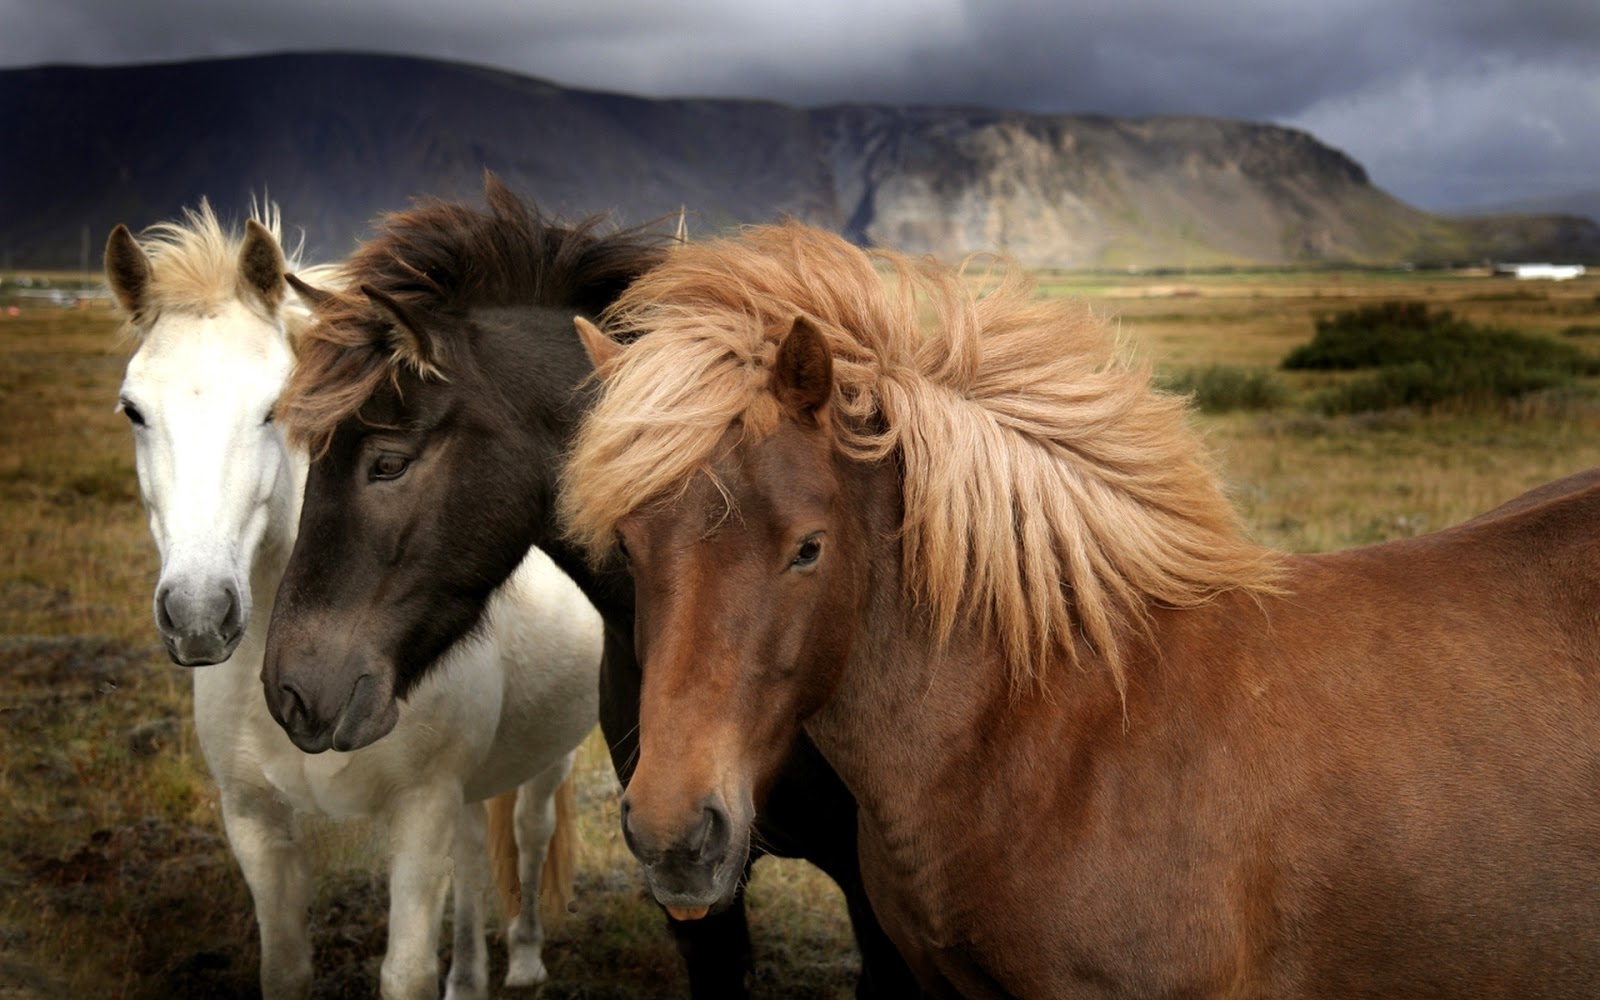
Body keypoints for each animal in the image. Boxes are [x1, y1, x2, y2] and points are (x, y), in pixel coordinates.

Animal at [106, 201, 602, 1000]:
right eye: (133, 411)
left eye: (274, 409)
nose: (198, 614)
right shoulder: (254, 823)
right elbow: (285, 966)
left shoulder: (420, 814)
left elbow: (405, 972)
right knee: (474, 853)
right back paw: (470, 977)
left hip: (549, 756)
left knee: (529, 833)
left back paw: (525, 959)